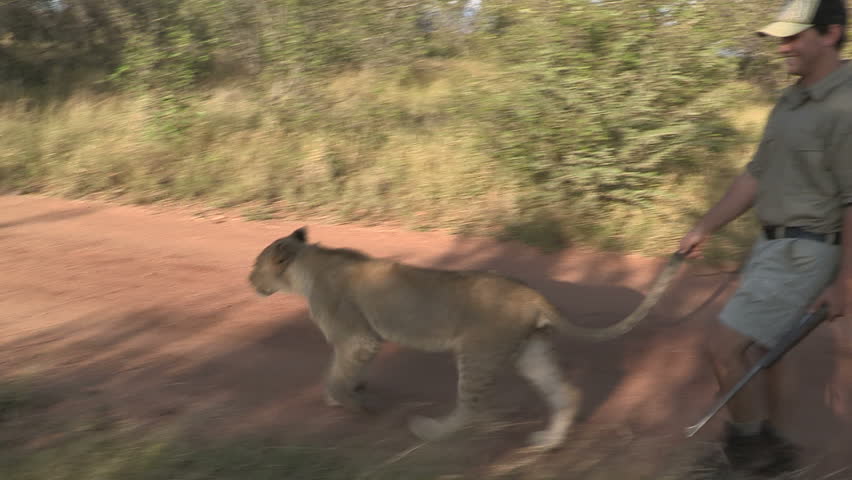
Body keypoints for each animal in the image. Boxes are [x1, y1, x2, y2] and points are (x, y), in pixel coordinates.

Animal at [248, 227, 684, 450]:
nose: (249, 280)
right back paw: (546, 441)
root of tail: (532, 294)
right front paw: (347, 395)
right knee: (567, 393)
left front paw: (349, 404)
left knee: (473, 409)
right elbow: (341, 372)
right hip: (530, 350)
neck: (307, 268)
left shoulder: (357, 339)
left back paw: (430, 431)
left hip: (478, 353)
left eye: (256, 266)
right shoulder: (360, 343)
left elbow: (336, 374)